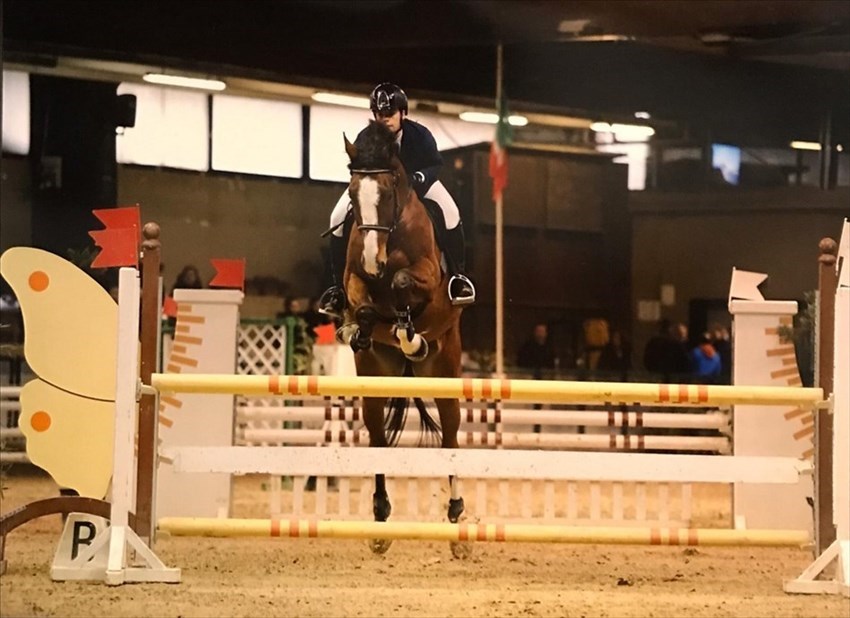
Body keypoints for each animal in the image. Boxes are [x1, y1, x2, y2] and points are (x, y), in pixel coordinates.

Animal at [332, 120, 468, 552]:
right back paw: (380, 520)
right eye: (352, 195)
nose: (373, 262)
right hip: (375, 379)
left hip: (445, 369)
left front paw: (411, 333)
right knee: (377, 438)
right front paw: (360, 327)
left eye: (389, 191)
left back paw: (457, 519)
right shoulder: (354, 279)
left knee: (451, 437)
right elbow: (362, 302)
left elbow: (405, 282)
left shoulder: (427, 276)